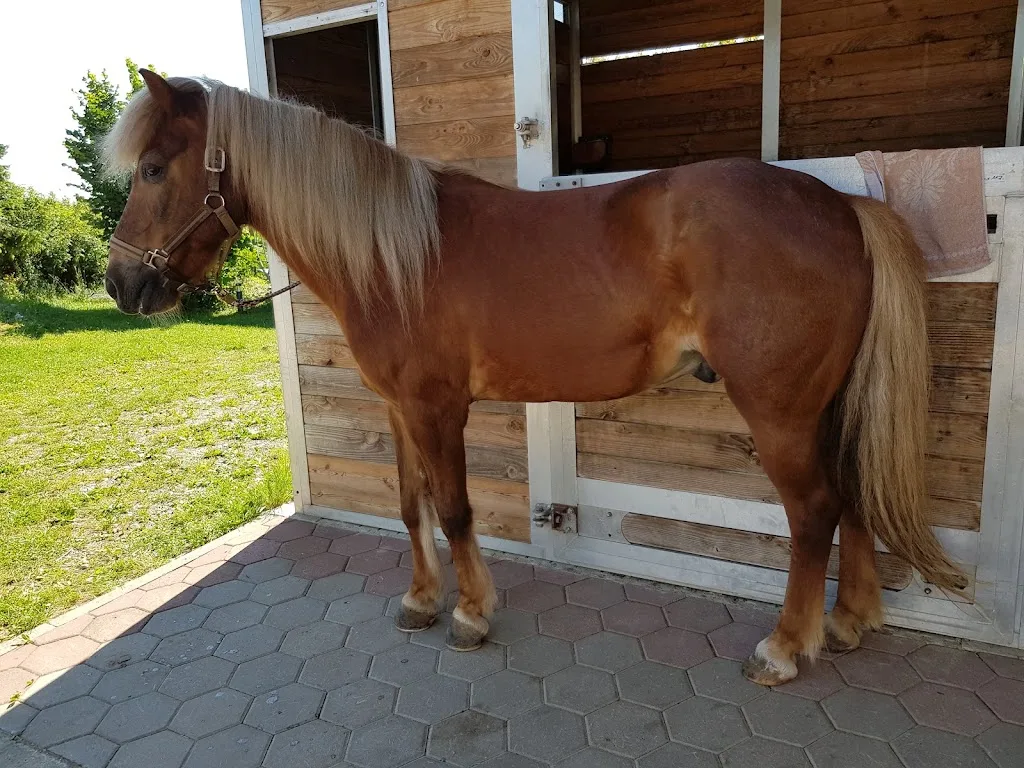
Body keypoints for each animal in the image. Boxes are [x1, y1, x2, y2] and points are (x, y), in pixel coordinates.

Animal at [102, 70, 964, 686]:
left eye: (154, 168)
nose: (122, 284)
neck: (396, 254)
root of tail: (841, 205)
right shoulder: (398, 409)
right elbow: (411, 506)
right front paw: (420, 600)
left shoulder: (438, 408)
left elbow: (455, 510)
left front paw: (471, 615)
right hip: (826, 407)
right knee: (851, 494)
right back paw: (848, 622)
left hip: (779, 413)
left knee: (814, 513)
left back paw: (785, 648)